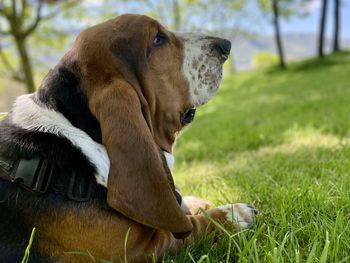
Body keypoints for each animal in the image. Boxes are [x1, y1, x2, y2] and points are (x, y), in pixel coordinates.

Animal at [0, 14, 258, 263]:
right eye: (157, 39)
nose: (225, 45)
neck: (76, 129)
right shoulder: (139, 248)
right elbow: (193, 228)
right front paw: (235, 215)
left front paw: (197, 203)